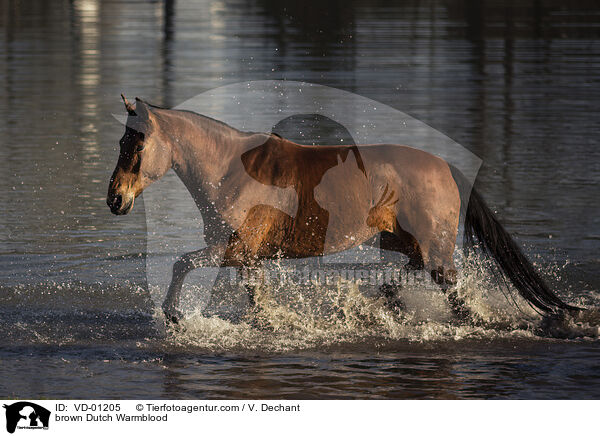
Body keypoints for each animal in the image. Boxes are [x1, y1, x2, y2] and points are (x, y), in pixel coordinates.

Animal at [106, 96, 576, 324]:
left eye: (137, 146)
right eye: (120, 142)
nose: (115, 200)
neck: (230, 169)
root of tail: (445, 166)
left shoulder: (235, 250)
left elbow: (181, 263)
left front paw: (173, 315)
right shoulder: (250, 260)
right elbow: (257, 303)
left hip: (437, 252)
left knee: (454, 295)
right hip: (402, 241)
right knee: (409, 271)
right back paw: (381, 302)